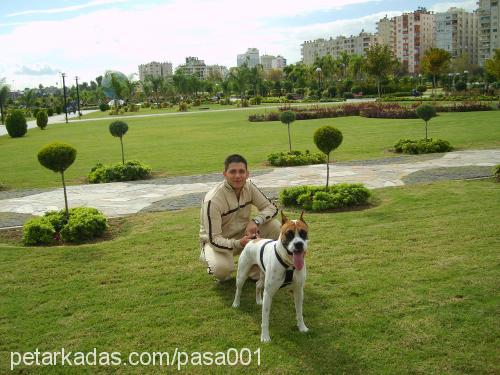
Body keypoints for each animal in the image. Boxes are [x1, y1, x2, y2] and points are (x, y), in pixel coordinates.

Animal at [231, 212, 308, 344]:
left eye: (303, 233)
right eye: (289, 234)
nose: (299, 244)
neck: (288, 264)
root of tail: (254, 240)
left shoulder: (298, 291)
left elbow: (299, 312)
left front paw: (302, 327)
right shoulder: (269, 293)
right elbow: (265, 319)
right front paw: (265, 337)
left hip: (262, 275)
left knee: (257, 284)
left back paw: (258, 300)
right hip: (242, 274)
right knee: (238, 289)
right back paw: (236, 303)